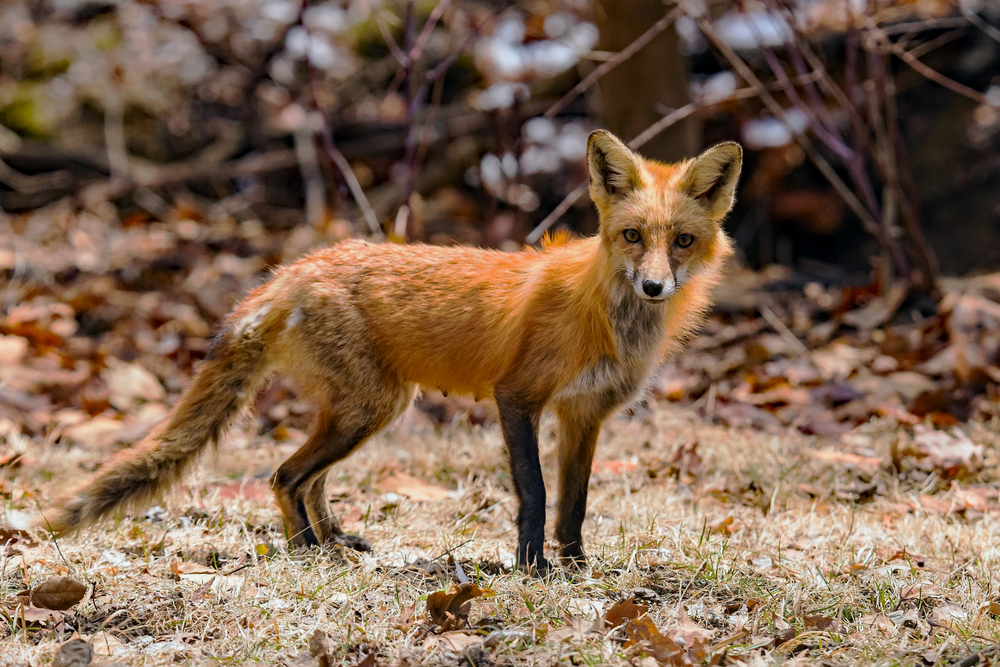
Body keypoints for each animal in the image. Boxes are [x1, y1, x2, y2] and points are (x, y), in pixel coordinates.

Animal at [41, 130, 740, 571]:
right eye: (632, 236)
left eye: (681, 241)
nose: (654, 287)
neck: (605, 315)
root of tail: (295, 269)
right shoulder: (517, 398)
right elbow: (536, 494)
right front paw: (531, 568)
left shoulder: (583, 415)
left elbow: (575, 504)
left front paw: (574, 567)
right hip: (374, 407)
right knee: (285, 475)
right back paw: (308, 554)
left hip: (362, 410)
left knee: (307, 479)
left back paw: (332, 541)